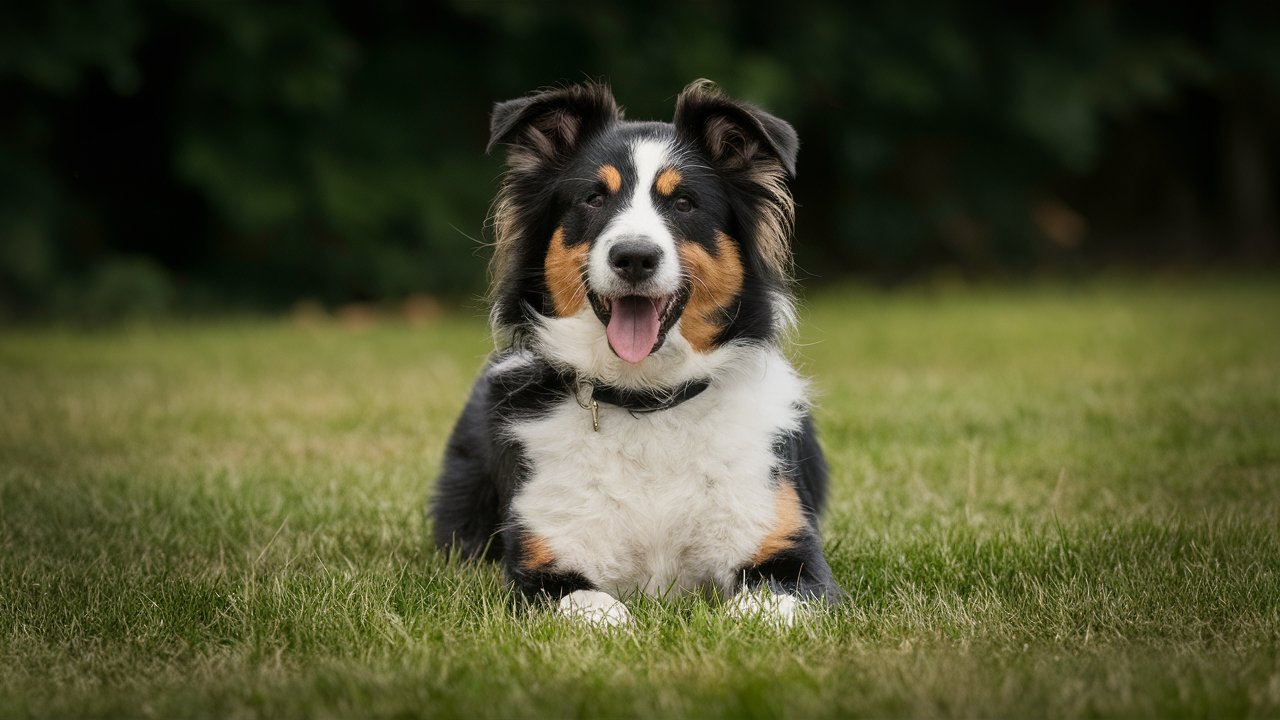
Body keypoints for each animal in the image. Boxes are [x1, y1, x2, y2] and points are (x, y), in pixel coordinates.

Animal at [430, 79, 839, 622]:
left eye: (684, 202)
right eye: (593, 198)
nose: (634, 257)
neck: (646, 399)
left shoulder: (791, 556)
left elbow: (762, 609)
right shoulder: (541, 566)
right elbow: (596, 608)